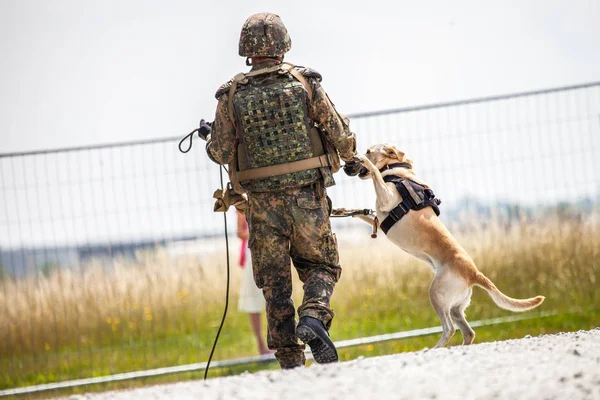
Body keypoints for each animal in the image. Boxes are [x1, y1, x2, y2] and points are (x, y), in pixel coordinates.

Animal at [354, 143, 548, 346]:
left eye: (369, 151)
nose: (354, 158)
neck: (397, 169)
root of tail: (474, 273)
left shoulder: (387, 197)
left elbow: (376, 173)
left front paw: (366, 162)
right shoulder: (380, 217)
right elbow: (363, 213)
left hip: (437, 294)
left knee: (450, 329)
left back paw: (435, 348)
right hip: (455, 306)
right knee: (468, 332)